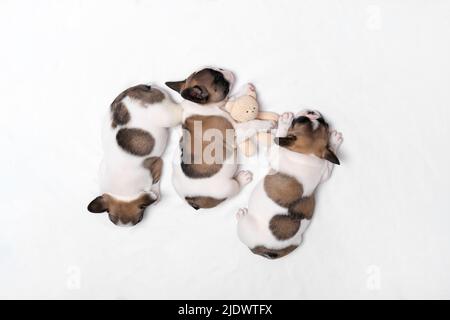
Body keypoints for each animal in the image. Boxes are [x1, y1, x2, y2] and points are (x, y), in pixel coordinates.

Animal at [87, 84, 181, 226]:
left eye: (139, 220)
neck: (123, 189)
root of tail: (141, 88)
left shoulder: (157, 165)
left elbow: (155, 184)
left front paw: (156, 195)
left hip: (167, 116)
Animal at [164, 68, 272, 210]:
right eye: (218, 78)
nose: (226, 70)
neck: (203, 106)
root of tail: (190, 200)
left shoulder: (224, 104)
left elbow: (231, 98)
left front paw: (246, 88)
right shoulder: (234, 134)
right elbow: (250, 124)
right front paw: (266, 124)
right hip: (227, 188)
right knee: (236, 187)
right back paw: (243, 178)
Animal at [237, 110, 342, 260]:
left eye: (298, 120)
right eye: (326, 125)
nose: (313, 112)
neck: (308, 154)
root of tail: (268, 252)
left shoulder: (275, 153)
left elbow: (276, 142)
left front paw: (284, 121)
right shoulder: (324, 171)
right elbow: (329, 165)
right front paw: (335, 140)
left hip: (245, 227)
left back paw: (241, 214)